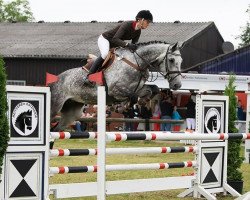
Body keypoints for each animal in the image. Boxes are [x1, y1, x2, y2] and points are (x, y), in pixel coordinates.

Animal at [49, 40, 183, 131]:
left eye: (181, 61)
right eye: (171, 60)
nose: (177, 84)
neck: (137, 63)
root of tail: (53, 81)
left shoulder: (137, 88)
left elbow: (153, 89)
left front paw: (142, 101)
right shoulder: (115, 90)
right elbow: (132, 97)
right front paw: (122, 107)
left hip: (73, 112)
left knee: (55, 130)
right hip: (54, 107)